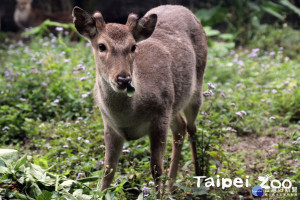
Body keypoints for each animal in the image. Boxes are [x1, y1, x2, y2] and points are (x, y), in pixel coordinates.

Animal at [72, 5, 207, 197]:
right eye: (101, 46)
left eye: (133, 46)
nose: (123, 79)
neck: (128, 117)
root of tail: (182, 8)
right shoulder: (110, 125)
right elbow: (108, 170)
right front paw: (100, 193)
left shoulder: (160, 116)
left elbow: (156, 168)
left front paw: (158, 197)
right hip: (173, 103)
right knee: (180, 128)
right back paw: (171, 186)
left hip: (196, 87)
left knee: (192, 129)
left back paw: (198, 178)